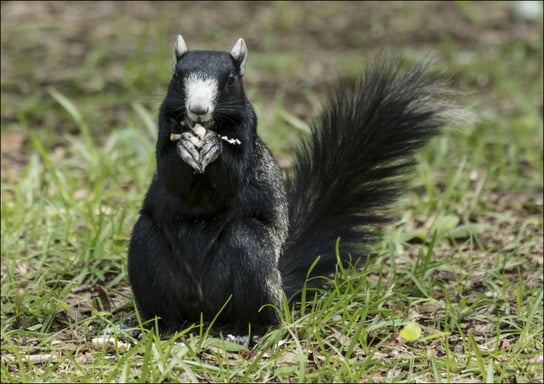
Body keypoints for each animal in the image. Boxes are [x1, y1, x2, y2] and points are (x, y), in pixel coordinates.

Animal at [126, 35, 454, 336]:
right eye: (177, 76)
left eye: (230, 80)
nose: (197, 108)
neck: (208, 127)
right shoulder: (165, 126)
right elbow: (172, 177)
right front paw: (187, 148)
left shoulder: (248, 130)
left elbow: (233, 178)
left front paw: (211, 148)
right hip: (148, 251)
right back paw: (159, 327)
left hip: (252, 257)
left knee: (256, 298)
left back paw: (250, 331)